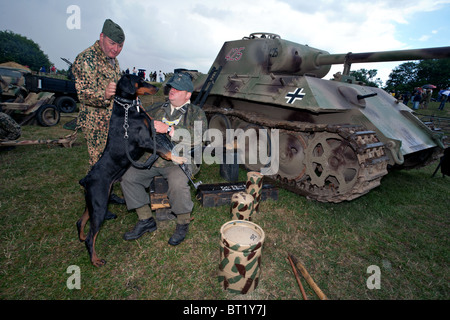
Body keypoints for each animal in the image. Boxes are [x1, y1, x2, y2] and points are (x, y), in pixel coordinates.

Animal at [76, 74, 184, 266]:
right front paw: (177, 158)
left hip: (94, 202)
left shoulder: (152, 133)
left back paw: (81, 237)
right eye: (139, 80)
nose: (159, 88)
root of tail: (86, 179)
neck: (127, 109)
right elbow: (165, 151)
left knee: (80, 221)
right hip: (100, 204)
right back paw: (96, 260)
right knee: (91, 237)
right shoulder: (145, 140)